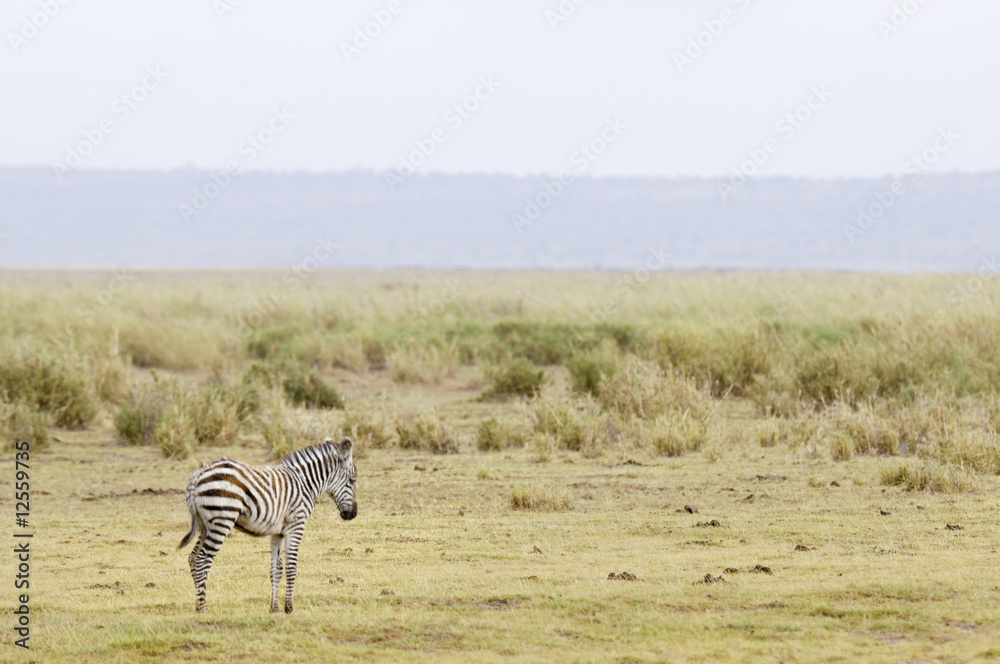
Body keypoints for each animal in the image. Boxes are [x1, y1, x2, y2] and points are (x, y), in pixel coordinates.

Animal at [178, 436, 357, 613]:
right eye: (352, 481)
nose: (353, 514)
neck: (305, 483)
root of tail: (199, 472)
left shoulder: (277, 532)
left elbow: (276, 570)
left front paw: (275, 608)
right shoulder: (296, 526)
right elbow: (291, 567)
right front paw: (289, 608)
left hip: (204, 525)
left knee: (193, 558)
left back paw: (197, 606)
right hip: (221, 521)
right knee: (202, 559)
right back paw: (203, 609)